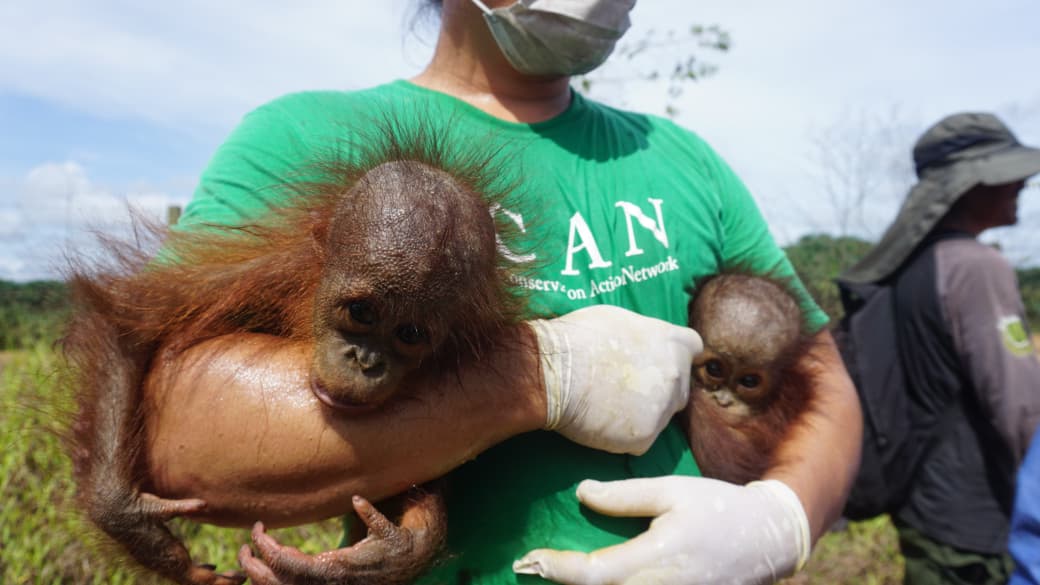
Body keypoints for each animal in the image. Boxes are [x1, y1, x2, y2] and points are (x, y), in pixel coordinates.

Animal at [61, 126, 534, 585]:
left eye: (410, 334)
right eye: (361, 311)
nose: (365, 361)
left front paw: (385, 557)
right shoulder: (267, 275)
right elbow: (131, 321)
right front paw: (137, 528)